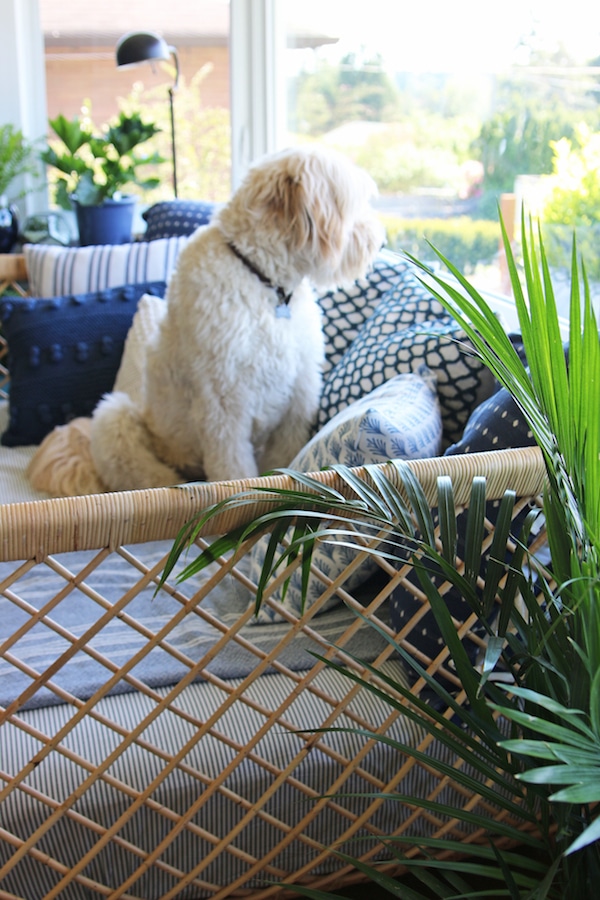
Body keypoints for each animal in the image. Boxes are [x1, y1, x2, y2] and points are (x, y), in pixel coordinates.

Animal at [34, 149, 384, 500]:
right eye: (353, 205)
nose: (377, 242)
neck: (263, 282)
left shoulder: (296, 401)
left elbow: (282, 463)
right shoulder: (224, 406)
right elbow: (235, 473)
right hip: (116, 417)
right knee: (148, 477)